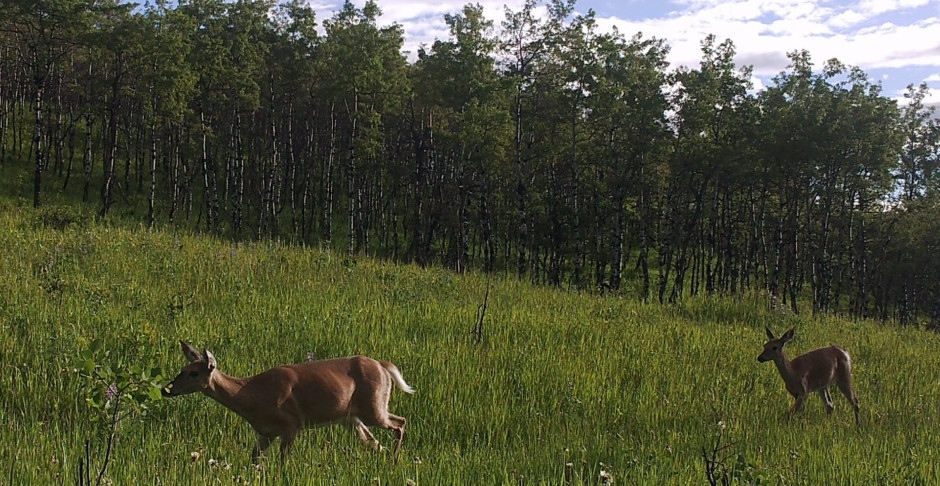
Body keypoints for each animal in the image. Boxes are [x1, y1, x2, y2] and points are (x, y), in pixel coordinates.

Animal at [162, 340, 414, 462]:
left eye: (194, 373)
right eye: (182, 369)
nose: (166, 390)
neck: (252, 395)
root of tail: (382, 366)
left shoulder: (291, 425)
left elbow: (283, 462)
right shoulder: (265, 432)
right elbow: (253, 460)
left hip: (373, 408)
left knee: (400, 422)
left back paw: (394, 459)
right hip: (352, 418)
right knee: (375, 442)